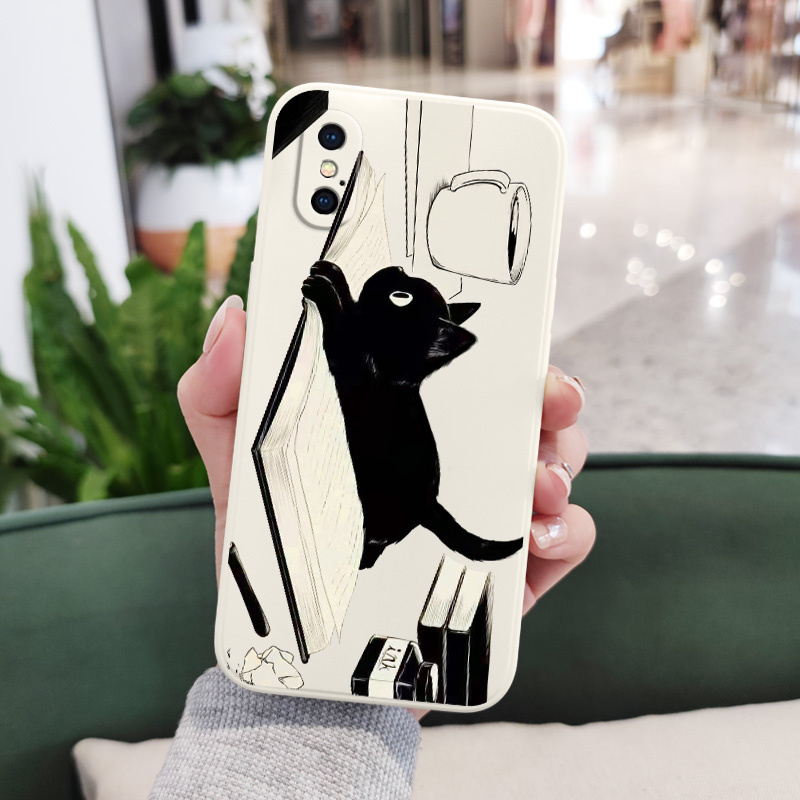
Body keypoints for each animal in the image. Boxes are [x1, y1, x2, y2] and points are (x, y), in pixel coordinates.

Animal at [301, 261, 524, 569]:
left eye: (401, 297)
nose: (397, 267)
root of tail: (430, 504)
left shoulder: (353, 362)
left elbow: (342, 328)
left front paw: (325, 287)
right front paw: (335, 280)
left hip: (383, 518)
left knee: (374, 548)